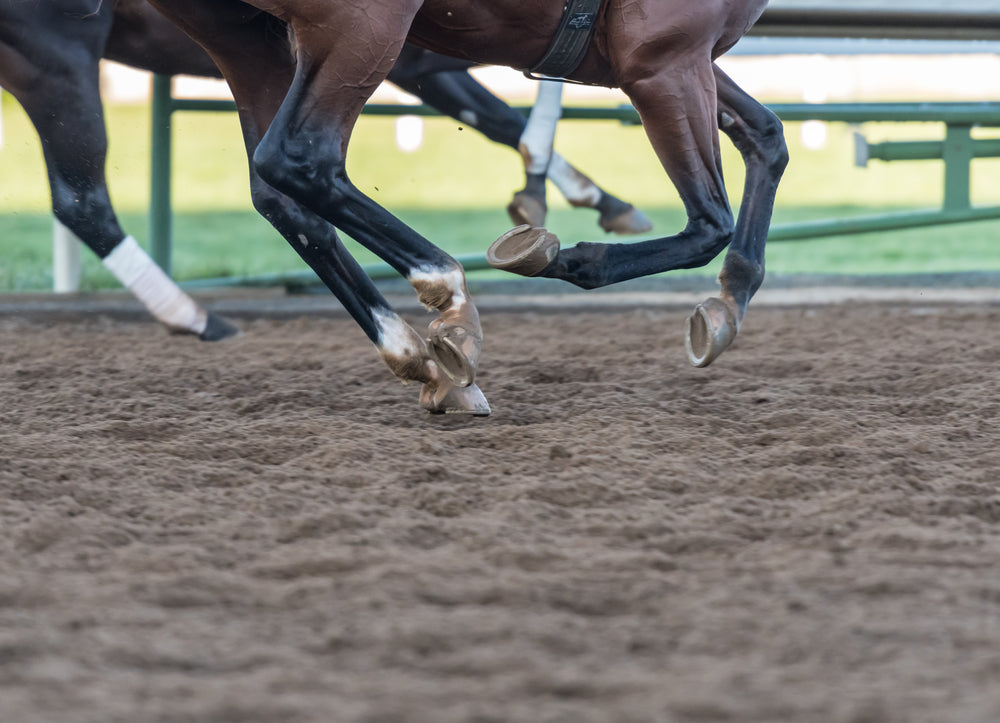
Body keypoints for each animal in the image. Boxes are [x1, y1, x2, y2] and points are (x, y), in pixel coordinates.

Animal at [1, 0, 648, 343]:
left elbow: (503, 116)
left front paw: (592, 198)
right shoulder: (414, 55)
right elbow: (516, 111)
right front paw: (552, 189)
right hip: (59, 59)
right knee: (83, 201)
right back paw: (192, 313)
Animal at [143, 0, 788, 416]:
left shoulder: (677, 58)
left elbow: (766, 137)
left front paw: (730, 299)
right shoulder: (663, 58)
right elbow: (710, 222)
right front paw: (560, 255)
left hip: (246, 34)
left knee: (280, 194)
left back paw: (418, 355)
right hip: (363, 24)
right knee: (299, 158)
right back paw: (448, 294)